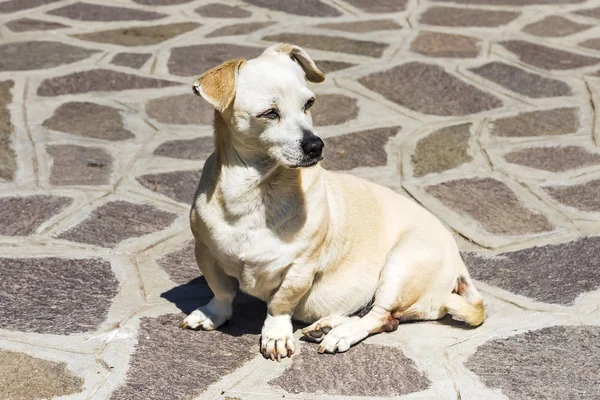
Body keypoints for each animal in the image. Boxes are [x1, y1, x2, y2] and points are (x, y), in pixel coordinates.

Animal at [180, 43, 486, 360]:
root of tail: (459, 267)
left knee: (382, 316)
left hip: (401, 265)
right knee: (380, 316)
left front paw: (275, 334)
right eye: (269, 113)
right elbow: (221, 291)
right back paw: (326, 325)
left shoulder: (300, 268)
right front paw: (213, 314)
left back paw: (341, 334)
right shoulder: (205, 253)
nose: (316, 145)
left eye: (309, 103)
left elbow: (279, 304)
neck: (255, 191)